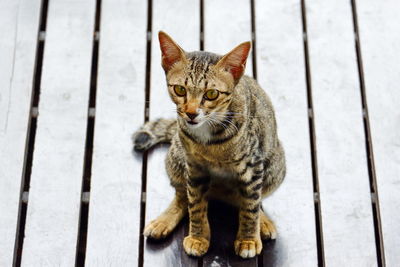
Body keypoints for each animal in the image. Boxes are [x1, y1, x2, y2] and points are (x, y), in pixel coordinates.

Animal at [133, 31, 286, 260]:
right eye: (180, 89)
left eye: (212, 94)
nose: (191, 113)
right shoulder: (195, 167)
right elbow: (196, 205)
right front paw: (198, 237)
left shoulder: (252, 166)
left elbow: (250, 207)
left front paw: (248, 239)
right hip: (176, 158)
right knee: (181, 196)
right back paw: (164, 220)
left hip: (275, 166)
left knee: (252, 200)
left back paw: (263, 222)